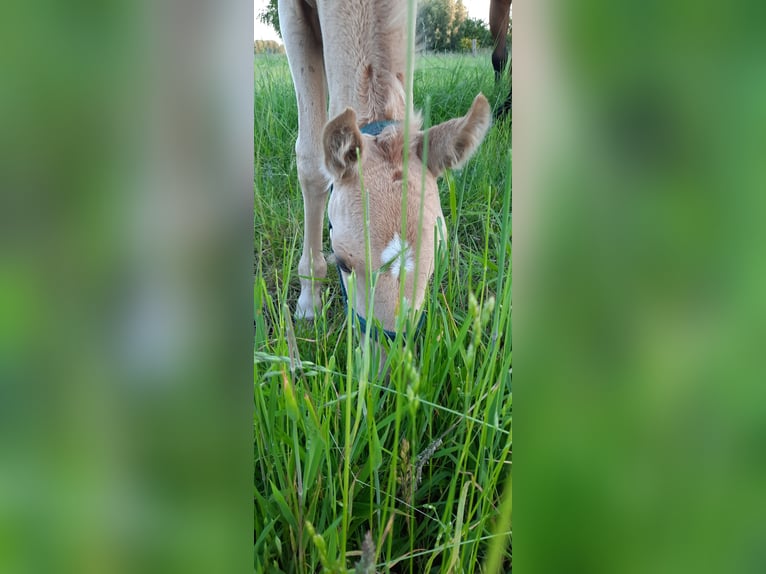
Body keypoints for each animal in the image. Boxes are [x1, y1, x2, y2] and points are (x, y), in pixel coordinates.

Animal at [280, 0, 488, 338]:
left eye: (437, 261)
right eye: (342, 262)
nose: (389, 352)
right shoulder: (290, 12)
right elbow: (312, 162)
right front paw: (309, 301)